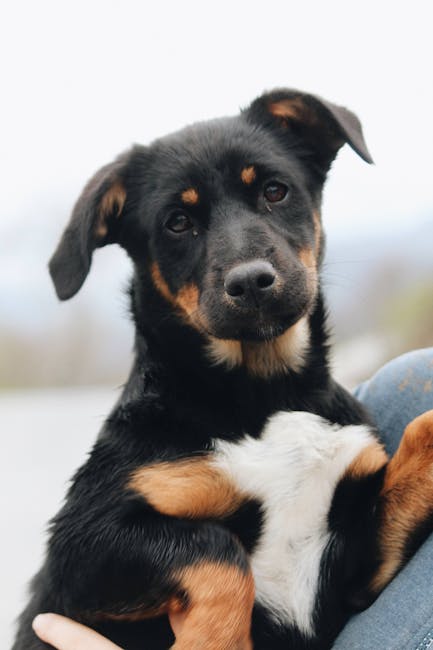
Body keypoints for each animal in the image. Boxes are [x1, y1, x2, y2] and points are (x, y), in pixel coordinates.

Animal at [12, 87, 432, 648]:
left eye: (275, 191)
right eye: (177, 222)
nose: (251, 281)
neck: (265, 393)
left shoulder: (358, 564)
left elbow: (422, 433)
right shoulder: (82, 547)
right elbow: (219, 552)